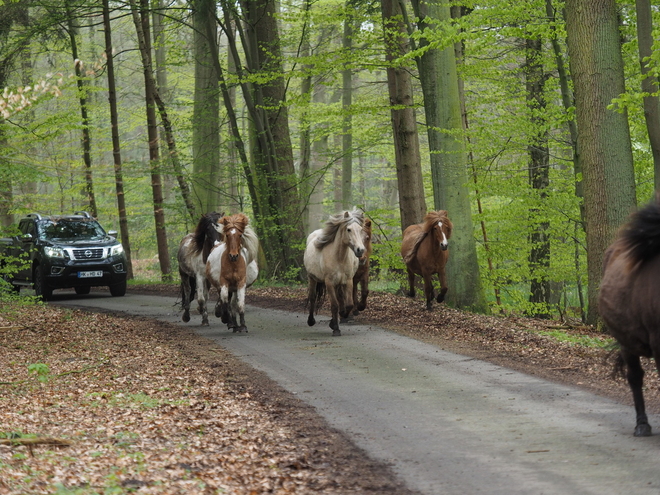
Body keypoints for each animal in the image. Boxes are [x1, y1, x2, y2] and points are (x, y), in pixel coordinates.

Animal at [304, 209, 366, 338]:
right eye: (349, 229)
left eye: (360, 229)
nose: (360, 250)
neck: (339, 257)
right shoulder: (329, 283)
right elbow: (334, 305)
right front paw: (336, 329)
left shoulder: (348, 281)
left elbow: (348, 304)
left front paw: (340, 318)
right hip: (312, 278)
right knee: (312, 297)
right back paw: (311, 321)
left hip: (338, 283)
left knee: (340, 298)